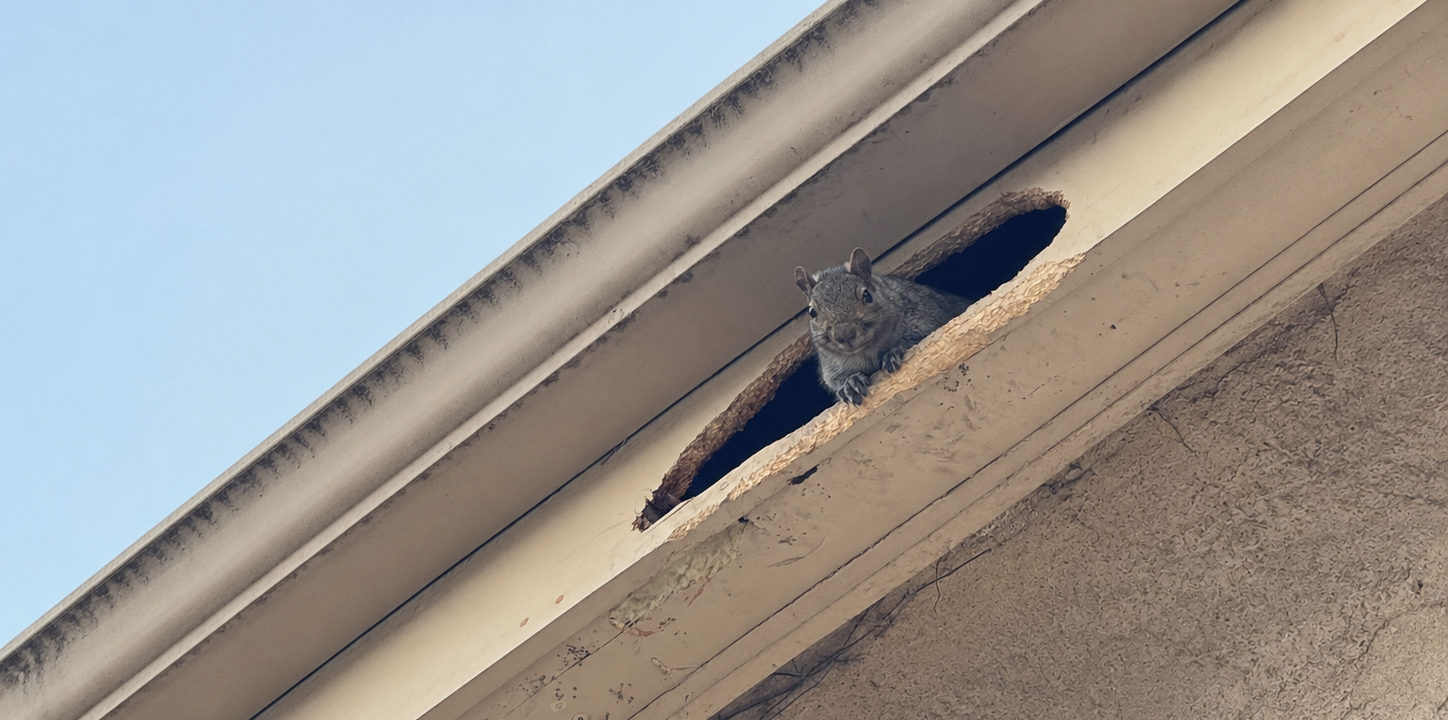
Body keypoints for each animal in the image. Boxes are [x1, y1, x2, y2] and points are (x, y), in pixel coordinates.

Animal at [795, 248, 972, 405]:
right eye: (812, 312)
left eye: (867, 296)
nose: (844, 334)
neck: (867, 350)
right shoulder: (832, 365)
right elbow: (834, 379)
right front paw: (849, 384)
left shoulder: (924, 315)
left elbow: (922, 335)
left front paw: (894, 351)